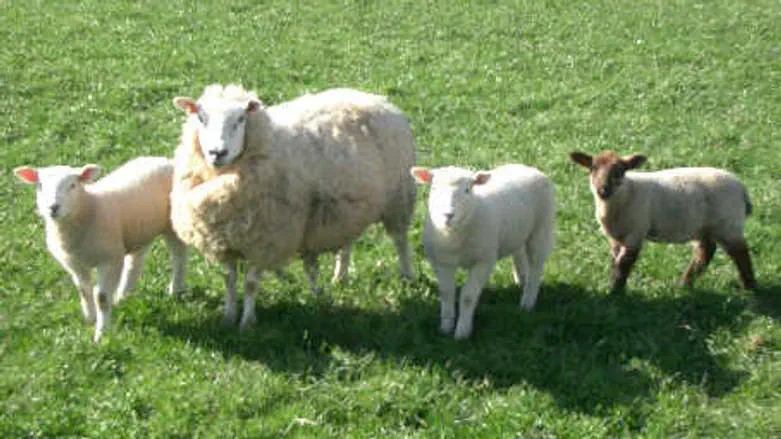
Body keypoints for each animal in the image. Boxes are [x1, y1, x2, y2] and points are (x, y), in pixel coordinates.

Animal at [14, 157, 188, 342]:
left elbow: (102, 298)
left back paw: (176, 290)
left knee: (178, 255)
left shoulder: (109, 260)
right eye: (40, 185)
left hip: (172, 223)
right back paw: (124, 295)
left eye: (72, 185)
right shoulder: (75, 264)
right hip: (139, 229)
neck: (89, 208)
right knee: (135, 261)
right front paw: (90, 318)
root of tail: (164, 160)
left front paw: (102, 334)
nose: (53, 207)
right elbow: (84, 291)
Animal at [170, 84, 416, 327]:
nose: (217, 153)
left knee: (400, 240)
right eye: (201, 118)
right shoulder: (225, 240)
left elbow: (250, 283)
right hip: (347, 208)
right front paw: (228, 317)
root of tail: (374, 97)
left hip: (399, 197)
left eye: (240, 119)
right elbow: (229, 280)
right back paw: (340, 277)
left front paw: (247, 321)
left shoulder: (266, 239)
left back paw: (407, 276)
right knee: (346, 244)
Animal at [410, 164, 556, 340]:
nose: (448, 215)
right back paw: (521, 280)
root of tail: (527, 167)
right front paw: (445, 327)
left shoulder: (483, 262)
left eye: (467, 189)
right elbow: (446, 293)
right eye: (434, 188)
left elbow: (467, 297)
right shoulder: (442, 262)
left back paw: (527, 301)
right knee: (519, 252)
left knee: (536, 266)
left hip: (542, 228)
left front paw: (462, 332)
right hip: (517, 230)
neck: (454, 237)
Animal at [569, 150, 757, 293]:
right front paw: (614, 287)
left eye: (621, 170)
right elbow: (614, 263)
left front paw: (616, 293)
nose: (603, 190)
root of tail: (742, 188)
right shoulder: (615, 238)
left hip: (728, 224)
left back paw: (749, 287)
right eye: (592, 168)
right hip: (704, 227)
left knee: (741, 253)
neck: (626, 192)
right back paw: (684, 285)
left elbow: (624, 264)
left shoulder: (635, 232)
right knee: (705, 252)